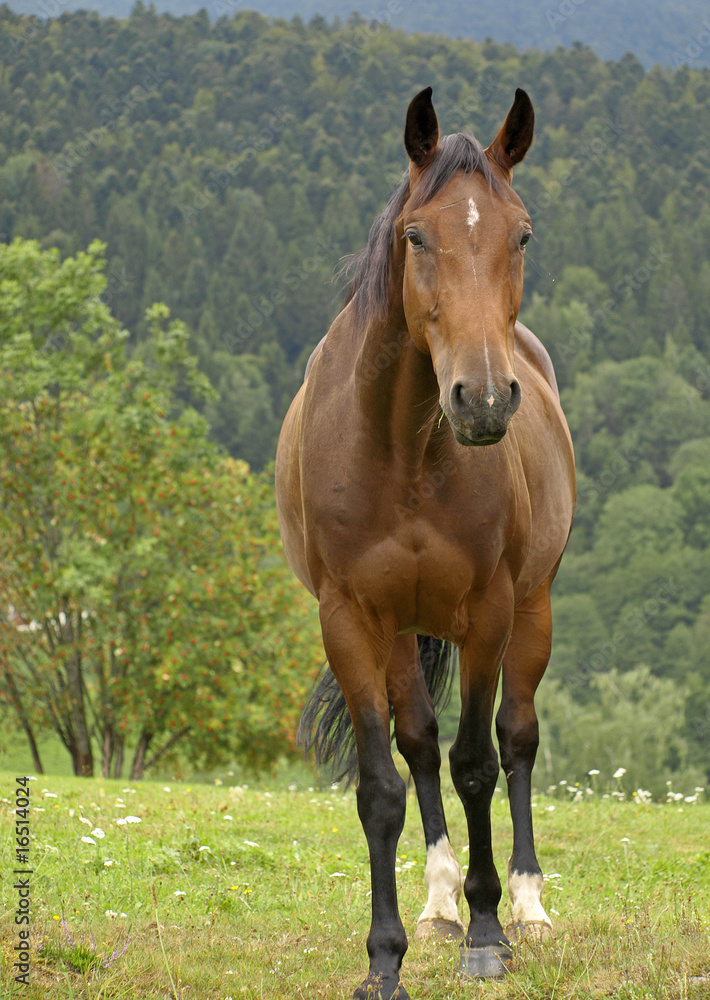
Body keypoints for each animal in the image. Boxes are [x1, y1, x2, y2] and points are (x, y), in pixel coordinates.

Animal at [275, 86, 575, 999]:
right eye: (416, 236)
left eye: (522, 233)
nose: (483, 398)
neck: (403, 448)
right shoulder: (350, 620)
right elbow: (384, 783)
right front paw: (385, 958)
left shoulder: (489, 613)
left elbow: (479, 761)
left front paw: (487, 933)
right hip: (404, 632)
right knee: (419, 746)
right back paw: (440, 899)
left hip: (534, 609)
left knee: (516, 739)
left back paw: (524, 901)